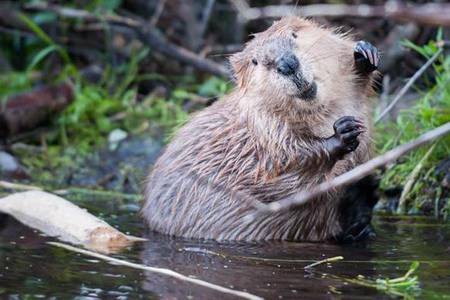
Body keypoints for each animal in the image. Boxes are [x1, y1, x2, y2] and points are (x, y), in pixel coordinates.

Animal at [142, 16, 380, 241]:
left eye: (294, 34)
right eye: (255, 61)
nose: (287, 64)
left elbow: (357, 86)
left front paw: (365, 54)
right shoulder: (264, 129)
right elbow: (286, 168)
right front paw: (343, 132)